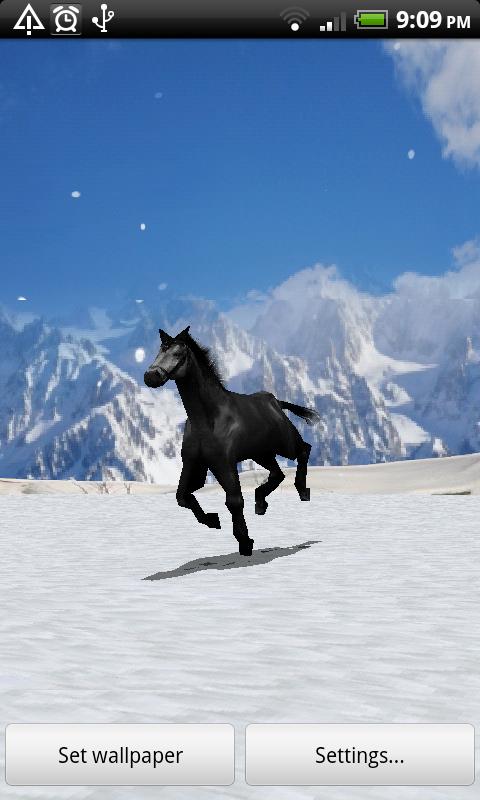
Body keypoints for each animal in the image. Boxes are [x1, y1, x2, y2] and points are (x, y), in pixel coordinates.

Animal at [144, 326, 320, 556]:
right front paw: (213, 520)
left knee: (304, 450)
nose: (150, 377)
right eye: (159, 351)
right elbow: (182, 496)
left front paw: (245, 542)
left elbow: (234, 501)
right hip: (261, 453)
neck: (208, 419)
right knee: (278, 473)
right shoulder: (193, 463)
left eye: (178, 353)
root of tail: (275, 402)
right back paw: (260, 503)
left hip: (284, 444)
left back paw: (302, 491)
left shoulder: (224, 463)